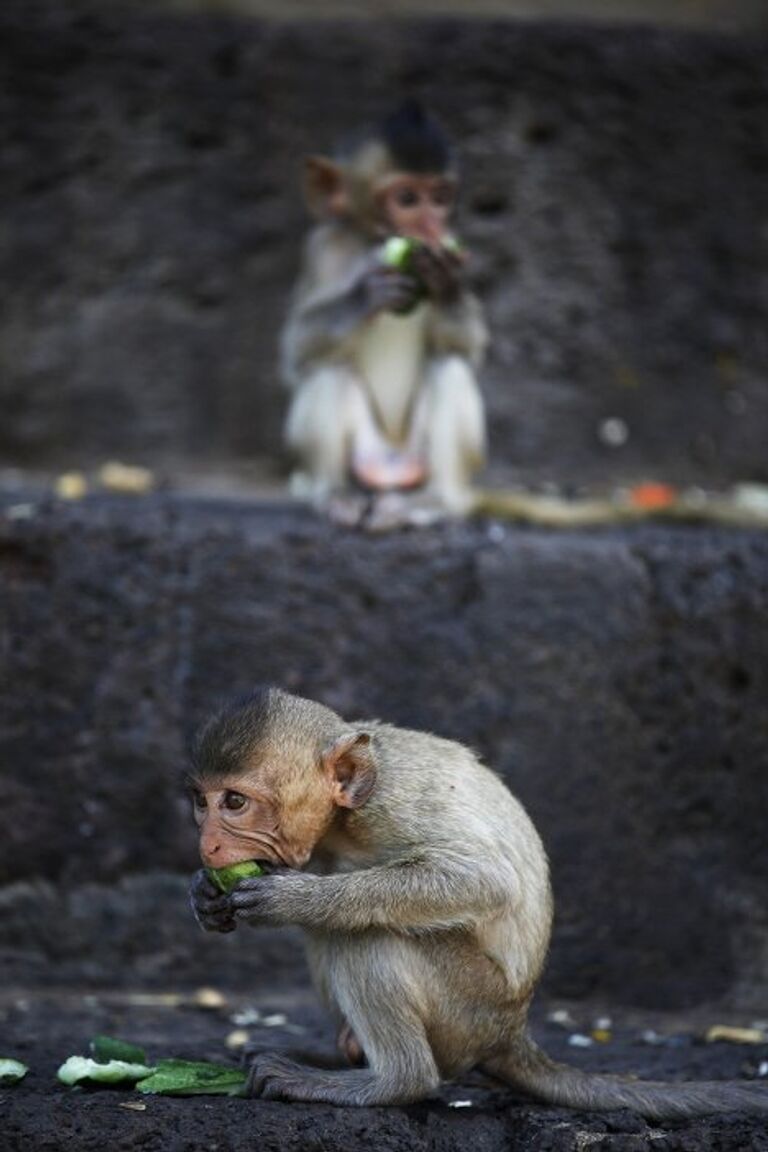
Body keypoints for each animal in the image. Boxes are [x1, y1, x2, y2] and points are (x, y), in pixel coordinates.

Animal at [187, 686, 768, 1119]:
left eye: (235, 802)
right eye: (200, 802)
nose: (207, 846)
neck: (344, 820)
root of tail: (509, 1032)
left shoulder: (394, 805)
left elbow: (484, 880)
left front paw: (294, 898)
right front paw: (205, 895)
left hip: (471, 1007)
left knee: (366, 932)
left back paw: (385, 1083)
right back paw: (338, 1054)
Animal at [279, 101, 490, 525]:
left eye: (440, 197)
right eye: (407, 199)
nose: (431, 226)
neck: (372, 241)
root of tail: (393, 459)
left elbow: (468, 347)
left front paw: (445, 284)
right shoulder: (321, 246)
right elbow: (298, 350)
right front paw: (367, 295)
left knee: (450, 366)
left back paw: (433, 502)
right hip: (364, 449)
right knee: (328, 369)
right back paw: (336, 495)